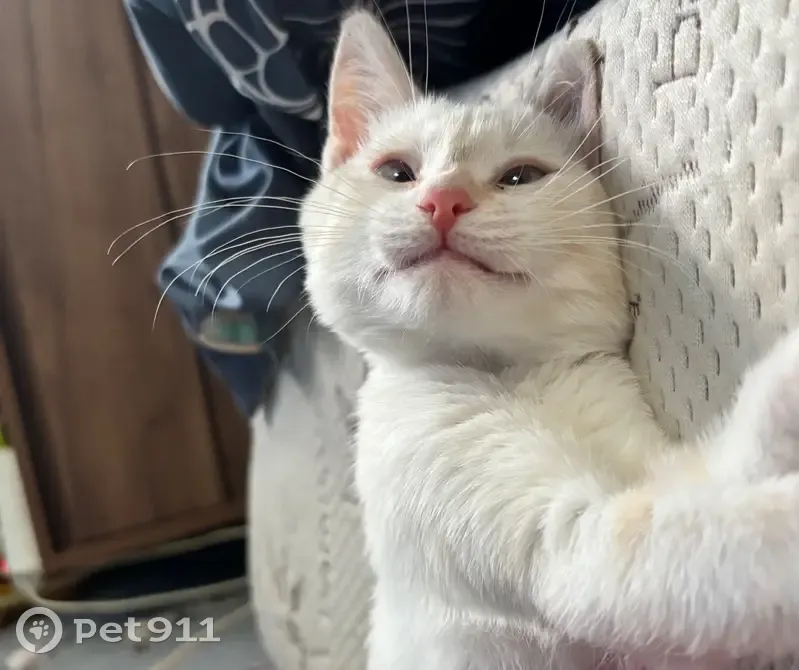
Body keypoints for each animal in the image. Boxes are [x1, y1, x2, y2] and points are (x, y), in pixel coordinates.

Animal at [299, 9, 799, 670]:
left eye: (520, 176)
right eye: (396, 172)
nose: (443, 199)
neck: (511, 376)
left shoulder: (656, 463)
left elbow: (717, 468)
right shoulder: (556, 545)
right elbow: (680, 545)